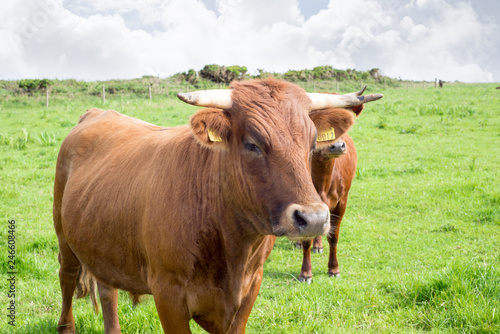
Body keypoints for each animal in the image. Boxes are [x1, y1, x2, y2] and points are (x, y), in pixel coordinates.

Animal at [53, 79, 382, 334]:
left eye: (312, 142)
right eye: (252, 143)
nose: (313, 218)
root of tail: (97, 112)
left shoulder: (250, 289)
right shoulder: (168, 294)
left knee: (107, 291)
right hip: (64, 236)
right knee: (67, 277)